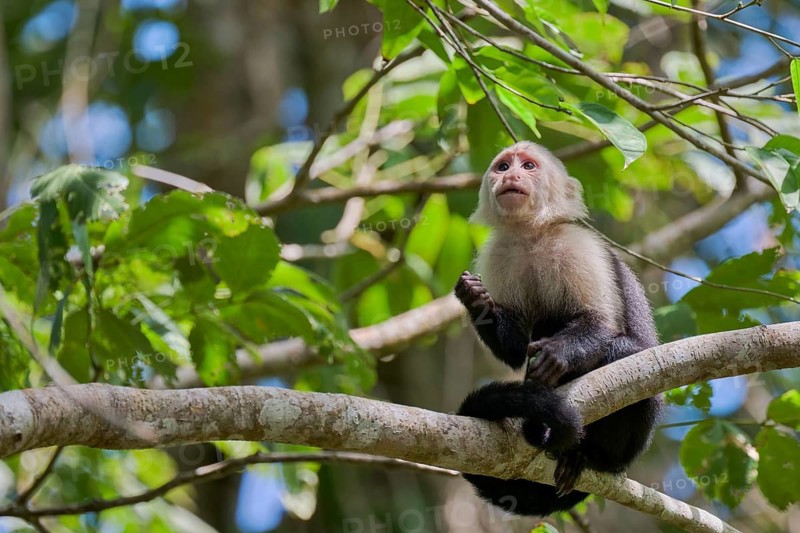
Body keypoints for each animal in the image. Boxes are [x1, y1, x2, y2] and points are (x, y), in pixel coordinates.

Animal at [454, 141, 662, 516]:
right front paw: (475, 297)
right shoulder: (499, 254)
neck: (531, 236)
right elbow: (515, 349)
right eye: (503, 166)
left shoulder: (576, 244)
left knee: (624, 352)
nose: (511, 175)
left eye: (529, 166)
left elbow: (599, 321)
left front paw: (557, 354)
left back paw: (587, 455)